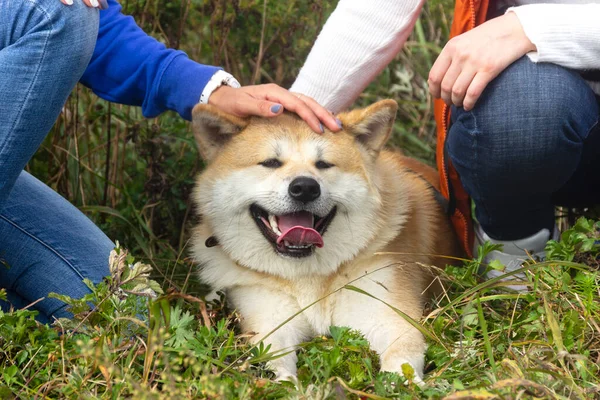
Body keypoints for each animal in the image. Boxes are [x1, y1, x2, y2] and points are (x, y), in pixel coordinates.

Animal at [190, 99, 462, 382]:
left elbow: (401, 361)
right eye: (271, 162)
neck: (309, 277)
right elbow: (275, 364)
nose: (305, 188)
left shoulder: (388, 314)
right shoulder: (269, 323)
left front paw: (404, 385)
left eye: (324, 164)